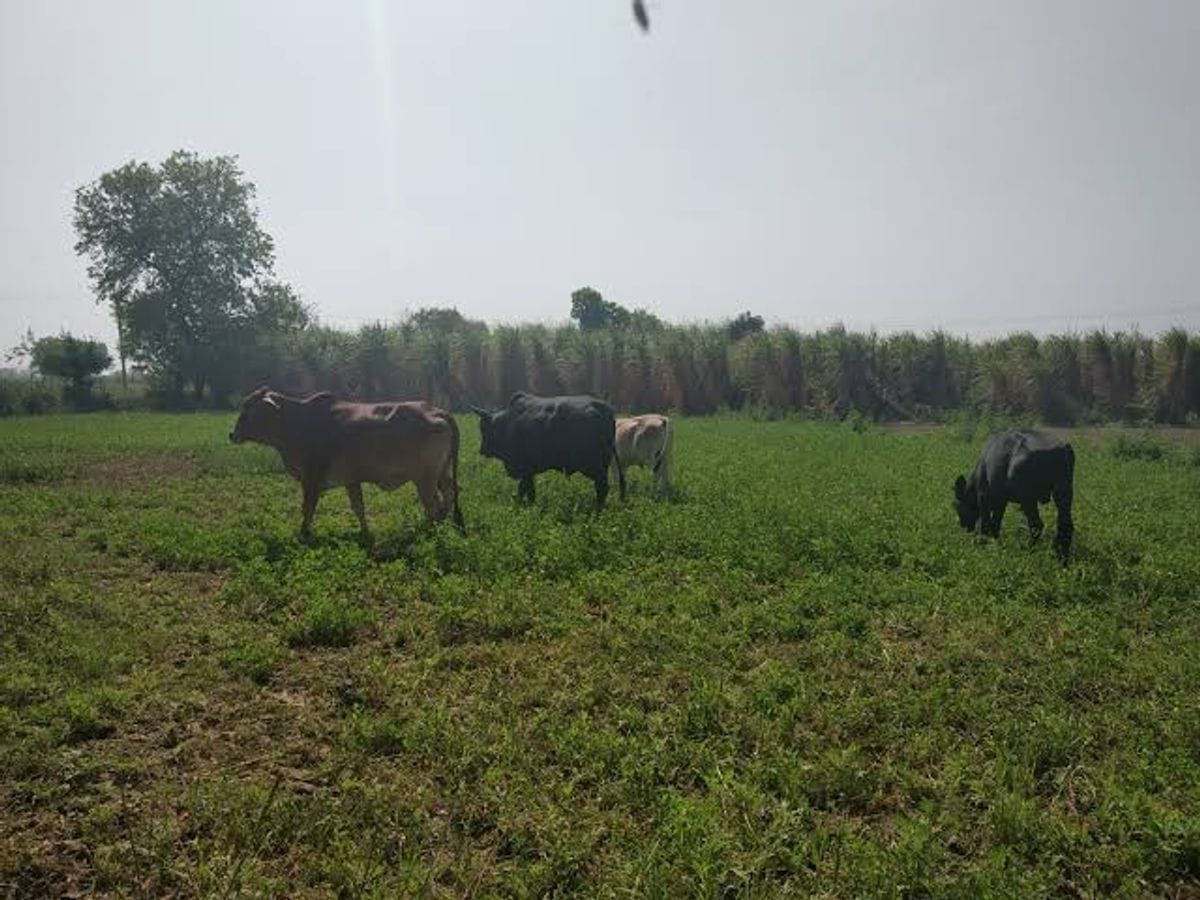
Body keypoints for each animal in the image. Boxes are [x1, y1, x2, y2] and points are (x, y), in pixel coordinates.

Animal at [230, 387, 464, 538]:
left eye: (249, 409)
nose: (232, 435)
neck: (296, 421)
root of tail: (436, 410)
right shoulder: (351, 480)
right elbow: (358, 507)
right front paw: (365, 532)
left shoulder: (311, 479)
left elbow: (308, 508)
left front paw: (303, 533)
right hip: (442, 474)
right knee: (451, 493)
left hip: (425, 479)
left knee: (433, 504)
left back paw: (431, 529)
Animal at [472, 392, 626, 508]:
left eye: (483, 428)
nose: (482, 449)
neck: (506, 424)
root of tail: (602, 407)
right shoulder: (529, 472)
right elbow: (528, 490)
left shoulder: (525, 469)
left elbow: (524, 489)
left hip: (594, 467)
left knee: (602, 488)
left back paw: (597, 508)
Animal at [953, 430, 1075, 561]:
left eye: (956, 506)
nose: (963, 526)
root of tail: (1061, 448)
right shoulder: (1001, 502)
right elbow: (995, 524)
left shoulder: (984, 499)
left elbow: (985, 525)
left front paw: (982, 544)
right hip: (1063, 493)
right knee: (1065, 526)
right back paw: (1062, 557)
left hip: (1028, 499)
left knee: (1036, 525)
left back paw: (1028, 549)